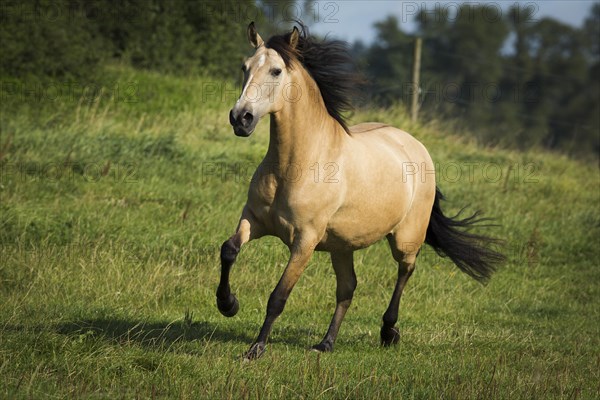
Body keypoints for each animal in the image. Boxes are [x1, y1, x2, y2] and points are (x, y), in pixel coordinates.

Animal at [217, 21, 506, 360]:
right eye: (245, 67)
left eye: (276, 71)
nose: (241, 118)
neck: (297, 164)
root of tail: (414, 145)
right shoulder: (254, 220)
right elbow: (229, 249)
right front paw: (228, 304)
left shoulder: (304, 242)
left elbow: (279, 295)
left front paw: (256, 348)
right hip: (341, 246)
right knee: (348, 287)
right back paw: (326, 343)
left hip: (405, 239)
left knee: (406, 270)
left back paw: (389, 332)